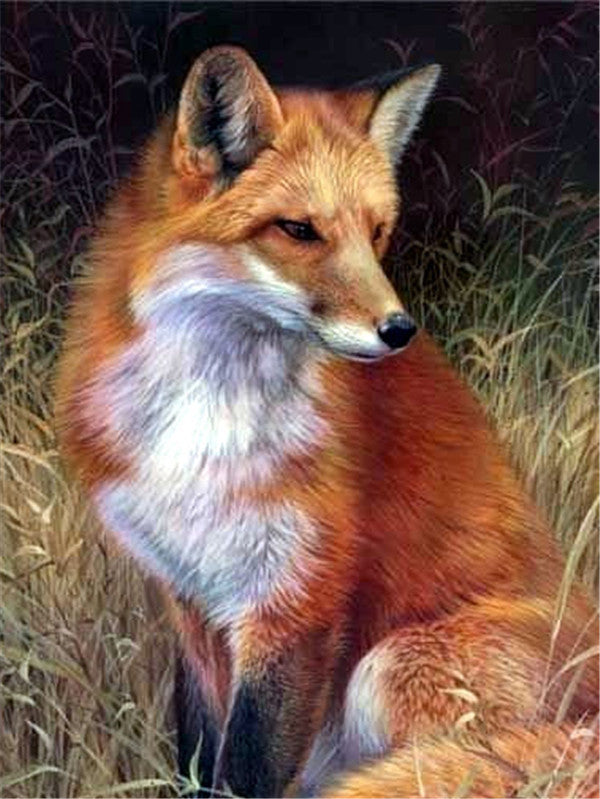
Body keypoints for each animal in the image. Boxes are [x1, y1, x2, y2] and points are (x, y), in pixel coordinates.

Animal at [55, 46, 598, 797]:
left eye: (376, 233)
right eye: (299, 230)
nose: (398, 330)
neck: (207, 423)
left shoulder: (296, 597)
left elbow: (247, 768)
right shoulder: (191, 599)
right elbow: (199, 756)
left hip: (392, 664)